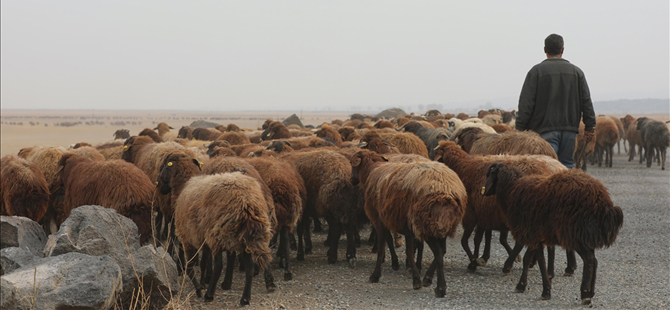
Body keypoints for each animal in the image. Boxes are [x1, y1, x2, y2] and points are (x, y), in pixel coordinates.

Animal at [158, 154, 272, 304]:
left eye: (165, 166)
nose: (158, 186)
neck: (184, 185)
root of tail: (245, 201)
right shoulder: (203, 241)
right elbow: (204, 263)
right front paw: (202, 283)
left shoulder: (188, 237)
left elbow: (190, 266)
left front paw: (199, 289)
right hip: (245, 236)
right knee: (250, 266)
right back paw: (245, 298)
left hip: (217, 236)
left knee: (219, 265)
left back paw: (210, 295)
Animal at [352, 150, 468, 298]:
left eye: (352, 163)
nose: (352, 180)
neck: (372, 170)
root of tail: (446, 190)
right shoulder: (405, 227)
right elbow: (408, 250)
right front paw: (415, 276)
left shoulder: (380, 220)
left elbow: (383, 248)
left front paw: (376, 275)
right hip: (443, 226)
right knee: (442, 251)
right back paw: (428, 278)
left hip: (426, 224)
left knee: (438, 252)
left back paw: (440, 288)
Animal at [434, 142, 560, 272]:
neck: (464, 168)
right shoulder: (484, 215)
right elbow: (481, 238)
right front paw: (480, 259)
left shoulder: (472, 215)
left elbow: (466, 241)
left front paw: (474, 262)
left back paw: (512, 264)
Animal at [484, 163, 624, 304]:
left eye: (489, 174)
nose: (483, 192)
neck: (512, 189)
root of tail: (602, 201)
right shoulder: (536, 235)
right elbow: (530, 259)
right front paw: (524, 285)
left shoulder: (531, 233)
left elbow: (539, 261)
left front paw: (543, 290)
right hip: (585, 235)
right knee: (594, 260)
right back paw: (591, 292)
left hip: (575, 233)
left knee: (589, 260)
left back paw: (585, 294)